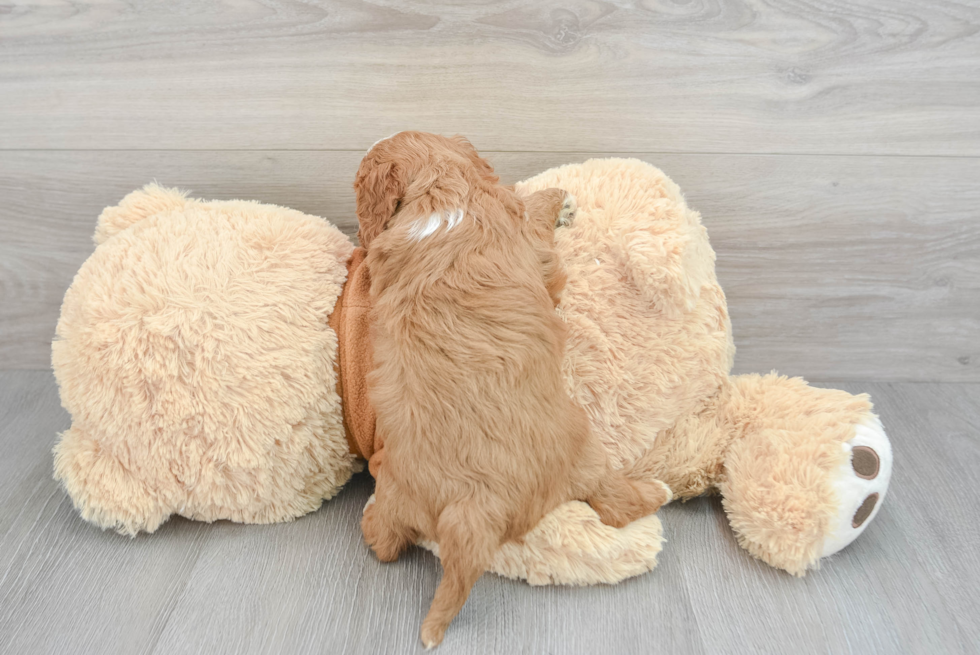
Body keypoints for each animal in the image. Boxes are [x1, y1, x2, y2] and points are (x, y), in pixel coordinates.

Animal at [356, 131, 668, 648]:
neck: (443, 194)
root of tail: (476, 505)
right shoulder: (532, 244)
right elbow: (536, 216)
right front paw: (561, 201)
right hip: (584, 447)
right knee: (614, 503)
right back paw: (656, 491)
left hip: (398, 495)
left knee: (386, 543)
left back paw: (368, 522)